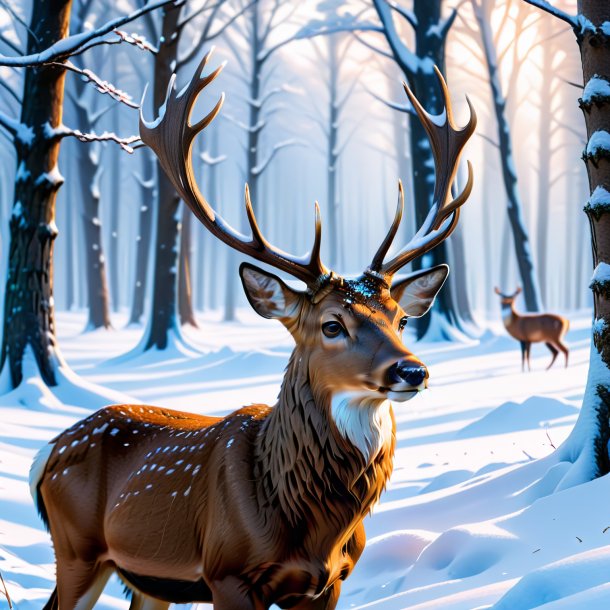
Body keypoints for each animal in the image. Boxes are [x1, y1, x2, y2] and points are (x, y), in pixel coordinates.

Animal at [28, 52, 476, 608]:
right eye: (332, 324)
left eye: (401, 318)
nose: (412, 371)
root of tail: (46, 454)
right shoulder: (228, 572)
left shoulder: (331, 581)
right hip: (77, 550)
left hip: (145, 578)